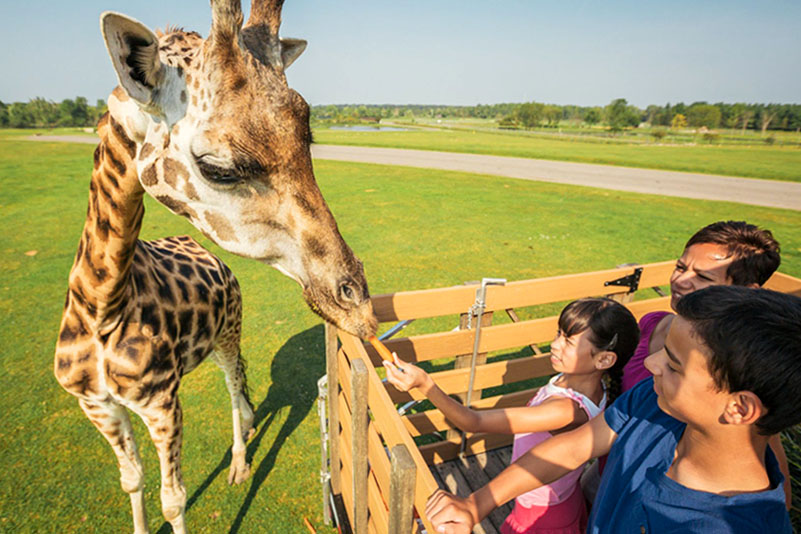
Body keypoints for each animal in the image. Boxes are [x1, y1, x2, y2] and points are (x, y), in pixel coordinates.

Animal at [54, 2, 378, 532]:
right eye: (218, 168)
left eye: (308, 138)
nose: (357, 305)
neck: (103, 308)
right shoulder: (100, 407)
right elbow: (133, 482)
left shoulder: (161, 405)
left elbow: (174, 499)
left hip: (227, 336)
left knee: (234, 390)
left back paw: (241, 464)